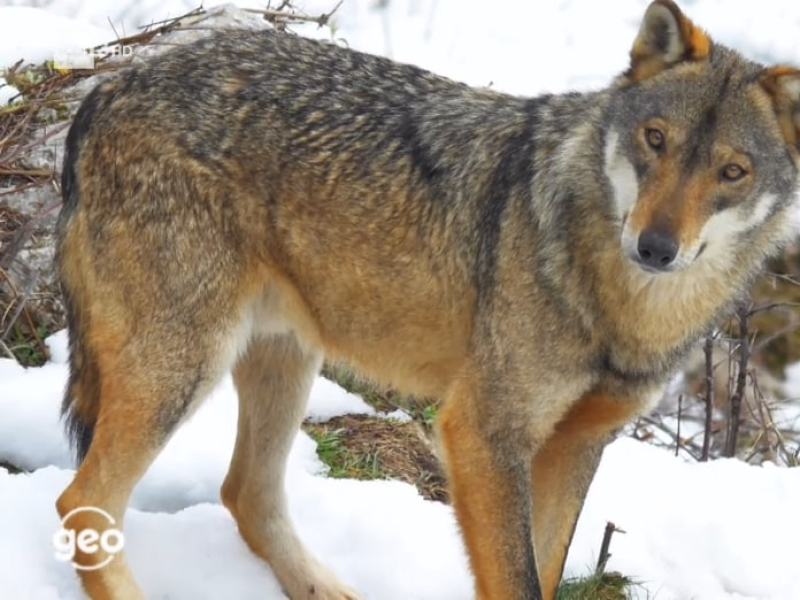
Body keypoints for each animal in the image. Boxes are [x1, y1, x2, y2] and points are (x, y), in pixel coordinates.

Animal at [55, 0, 799, 598]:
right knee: (82, 504)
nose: (655, 247)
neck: (620, 309)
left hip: (284, 362)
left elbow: (545, 573)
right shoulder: (481, 434)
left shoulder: (577, 444)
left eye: (731, 172)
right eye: (656, 141)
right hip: (184, 371)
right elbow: (517, 581)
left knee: (245, 496)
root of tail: (110, 84)